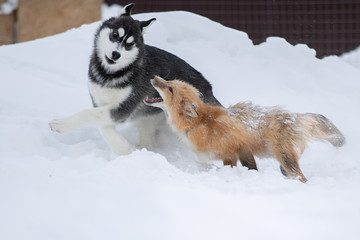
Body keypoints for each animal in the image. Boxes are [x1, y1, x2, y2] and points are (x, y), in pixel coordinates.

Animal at [49, 3, 221, 155]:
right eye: (115, 35)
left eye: (129, 44)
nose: (115, 55)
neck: (110, 75)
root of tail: (210, 89)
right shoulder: (100, 102)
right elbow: (102, 125)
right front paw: (123, 149)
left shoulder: (124, 106)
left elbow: (89, 115)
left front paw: (61, 124)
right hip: (148, 120)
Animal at [146, 77, 346, 182]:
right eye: (168, 81)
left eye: (170, 88)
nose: (154, 77)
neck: (200, 124)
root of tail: (294, 116)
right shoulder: (236, 152)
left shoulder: (234, 151)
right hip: (284, 163)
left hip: (286, 159)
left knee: (301, 177)